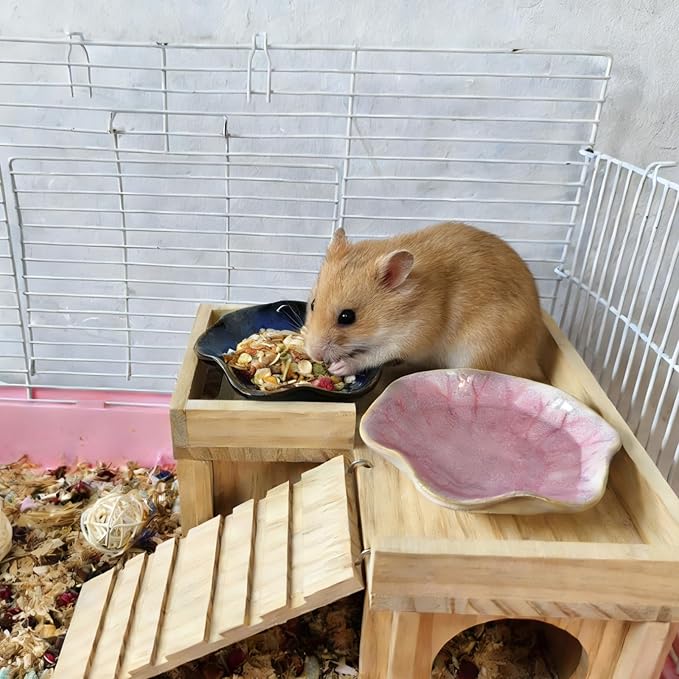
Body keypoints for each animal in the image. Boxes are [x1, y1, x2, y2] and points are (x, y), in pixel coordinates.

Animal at [302, 221, 547, 382]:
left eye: (347, 317)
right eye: (312, 304)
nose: (313, 354)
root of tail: (533, 364)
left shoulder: (411, 335)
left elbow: (375, 355)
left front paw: (340, 366)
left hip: (480, 351)